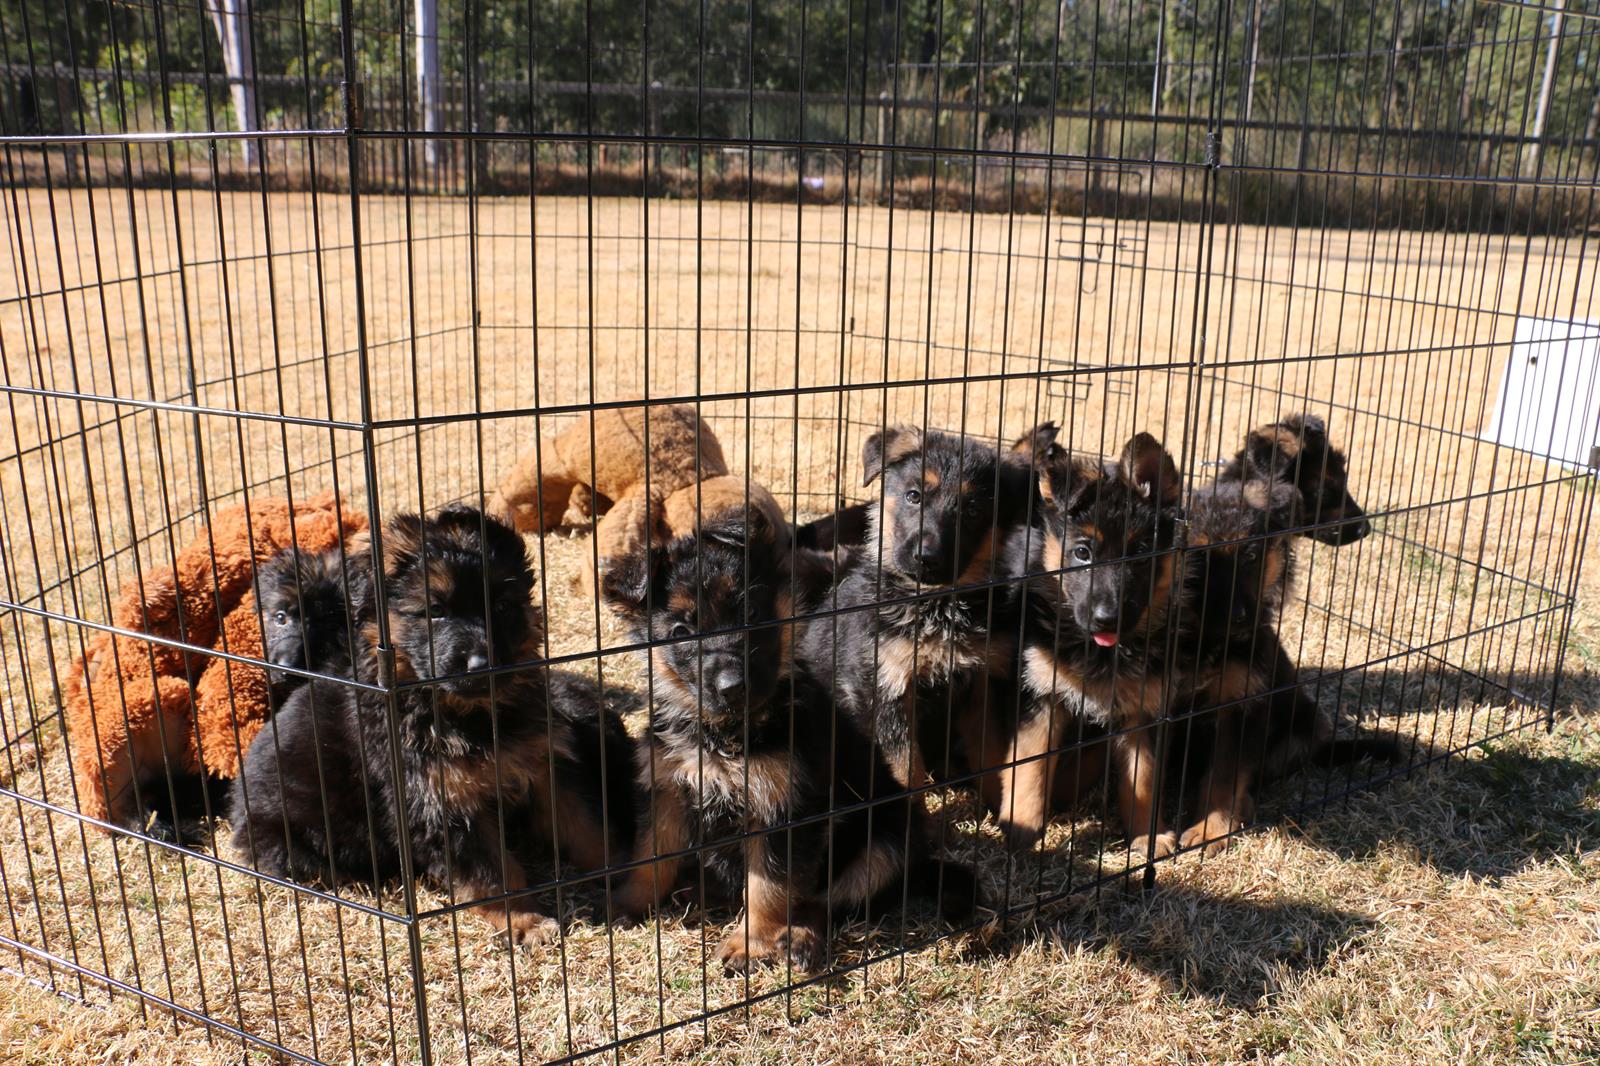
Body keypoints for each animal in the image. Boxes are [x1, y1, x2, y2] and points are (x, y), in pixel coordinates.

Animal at [233, 505, 633, 941]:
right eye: (435, 612)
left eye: (503, 606)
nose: (481, 662)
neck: (468, 715)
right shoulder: (437, 803)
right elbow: (492, 872)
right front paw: (524, 921)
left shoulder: (544, 764)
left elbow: (585, 825)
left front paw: (626, 868)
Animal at [601, 505, 966, 973]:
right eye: (681, 632)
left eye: (752, 613)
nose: (733, 686)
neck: (726, 735)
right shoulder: (668, 789)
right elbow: (650, 857)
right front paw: (628, 903)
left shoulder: (784, 810)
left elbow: (769, 885)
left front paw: (751, 943)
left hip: (887, 841)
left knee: (825, 902)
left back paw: (799, 940)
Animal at [998, 428, 1190, 851]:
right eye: (1082, 552)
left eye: (1141, 553)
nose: (1108, 620)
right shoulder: (1040, 696)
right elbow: (1030, 766)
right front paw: (1021, 827)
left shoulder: (1142, 711)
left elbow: (1142, 780)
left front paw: (1148, 837)